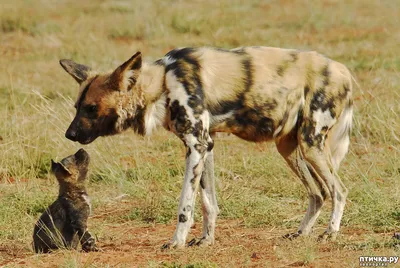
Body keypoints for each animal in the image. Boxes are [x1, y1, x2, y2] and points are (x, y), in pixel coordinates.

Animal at [60, 46, 354, 249]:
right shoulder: (206, 145)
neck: (163, 85)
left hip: (311, 144)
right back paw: (301, 232)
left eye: (92, 108)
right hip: (289, 147)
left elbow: (185, 207)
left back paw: (330, 232)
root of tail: (344, 71)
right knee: (318, 193)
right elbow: (207, 204)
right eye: (77, 107)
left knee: (339, 190)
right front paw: (206, 240)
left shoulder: (196, 145)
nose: (69, 134)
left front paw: (176, 242)